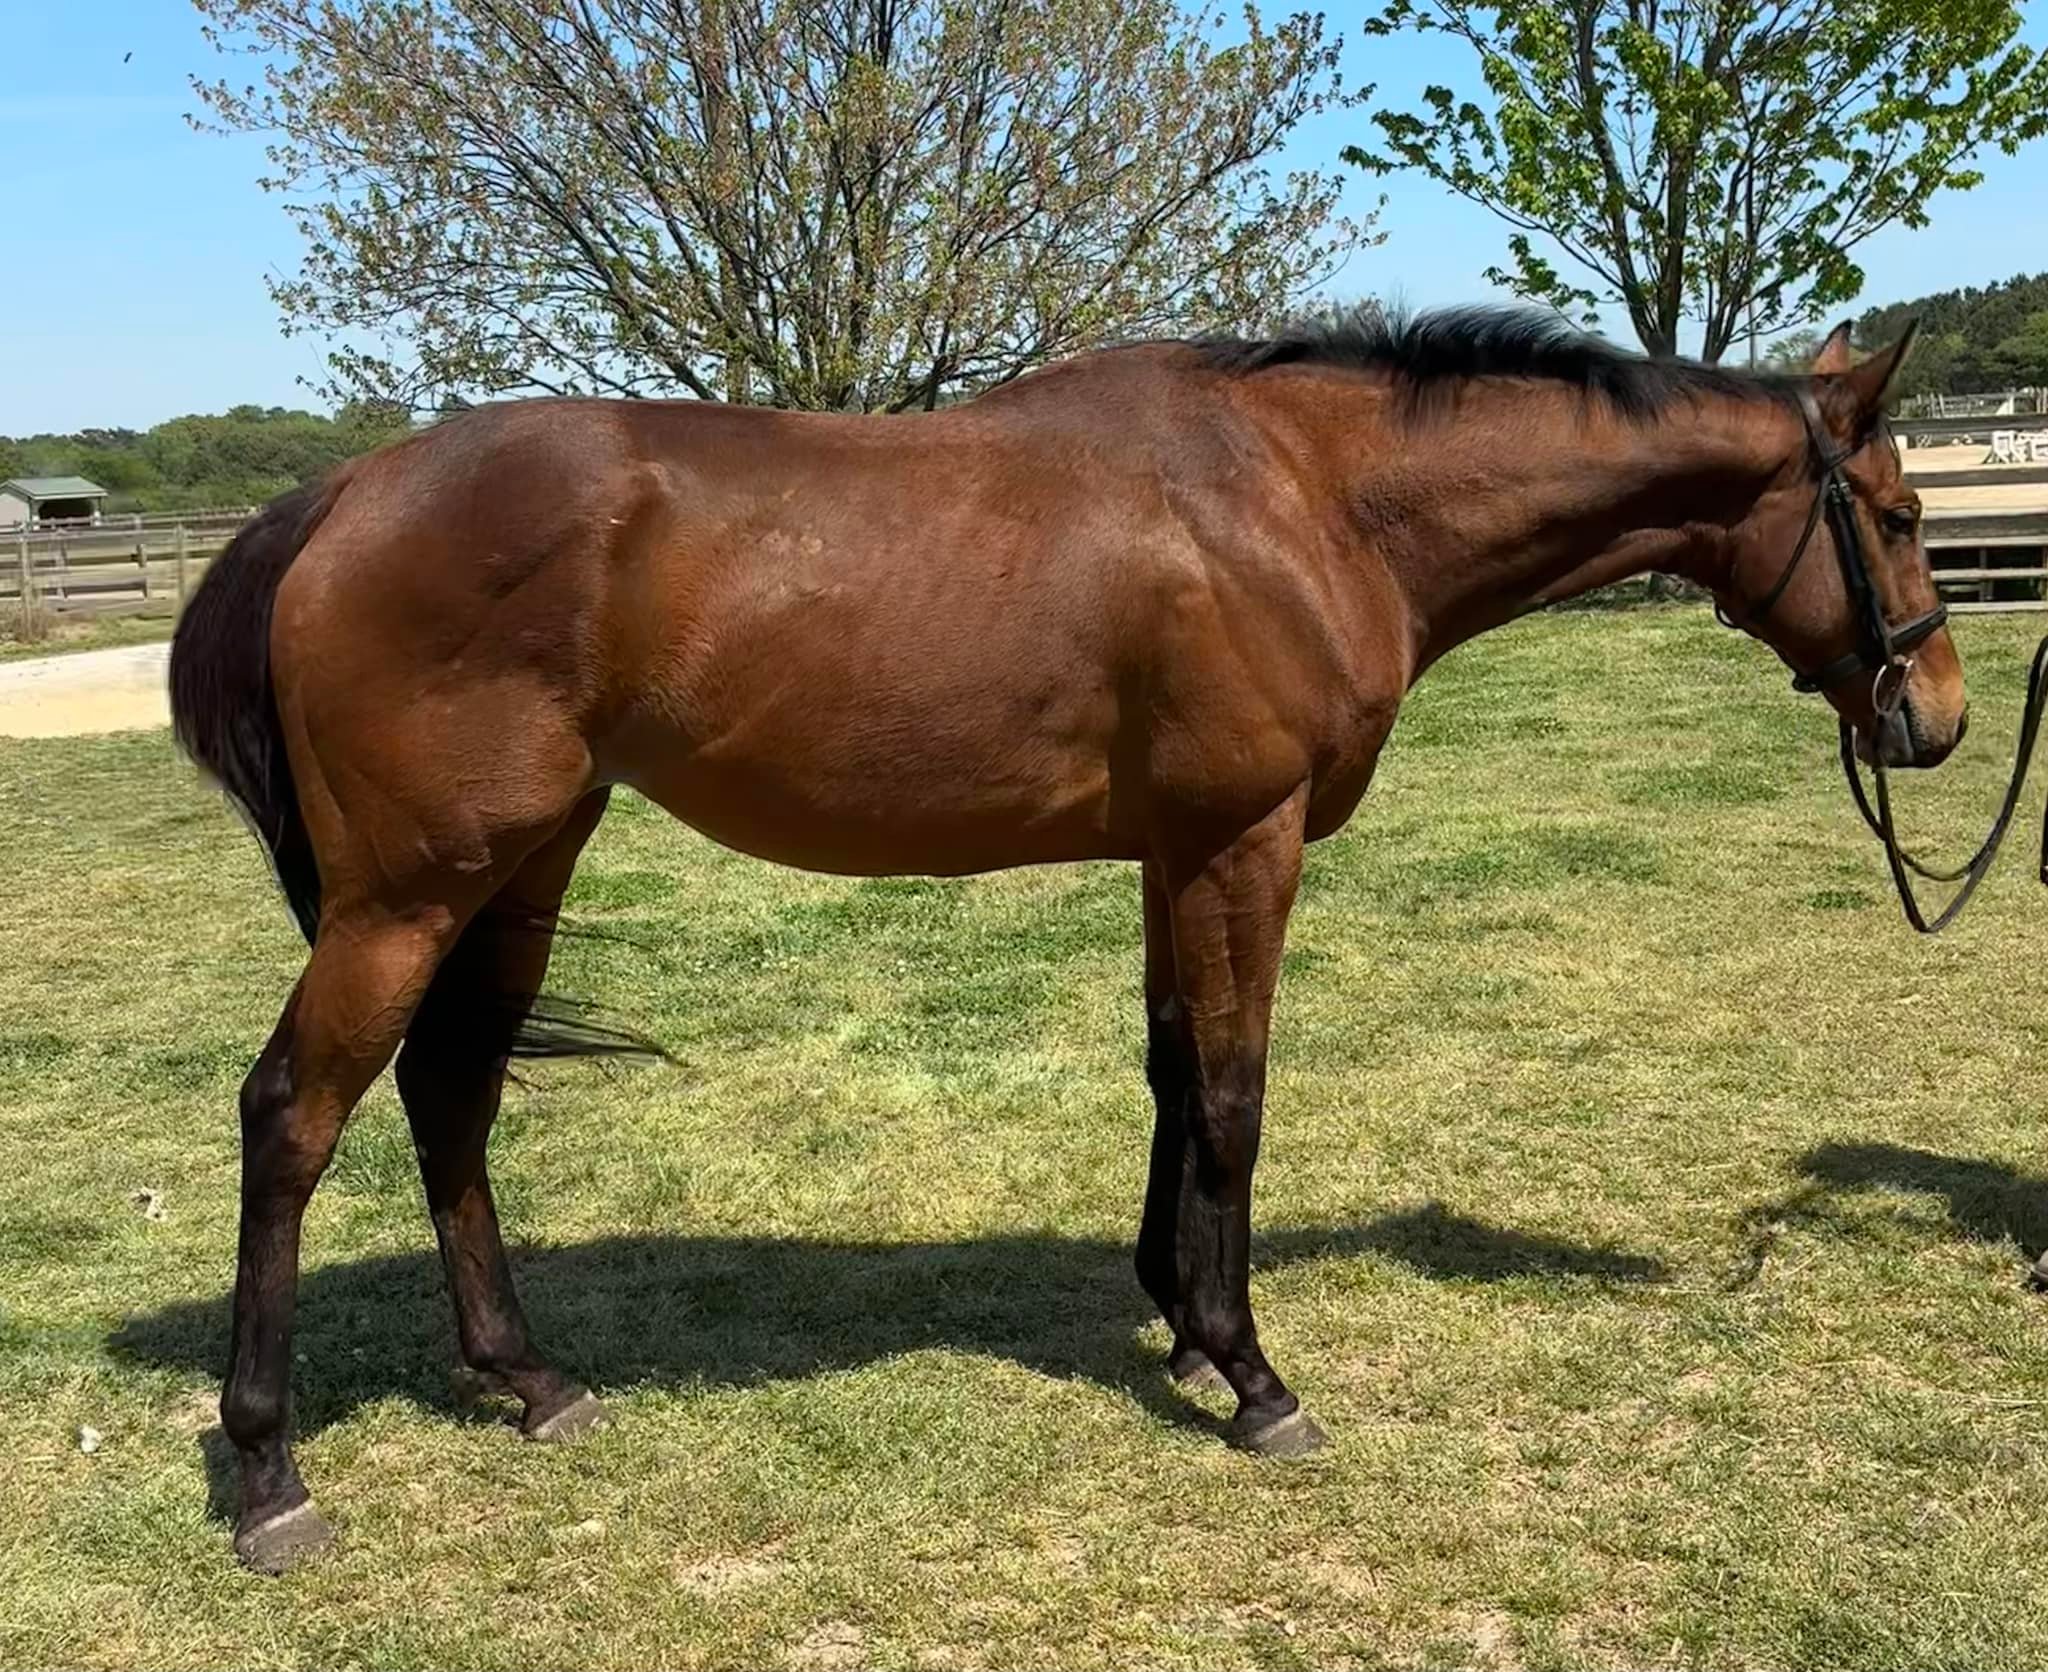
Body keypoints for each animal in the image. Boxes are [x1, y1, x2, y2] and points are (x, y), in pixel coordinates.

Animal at [168, 306, 1962, 1573]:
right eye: (1891, 510)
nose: (1934, 716)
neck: (1306, 497)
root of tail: (341, 495)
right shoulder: (1242, 843)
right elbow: (1235, 1093)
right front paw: (1255, 1378)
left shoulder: (1177, 853)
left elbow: (1172, 1076)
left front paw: (1178, 1317)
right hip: (407, 895)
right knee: (294, 1118)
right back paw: (267, 1474)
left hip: (523, 866)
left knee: (450, 1096)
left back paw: (526, 1381)